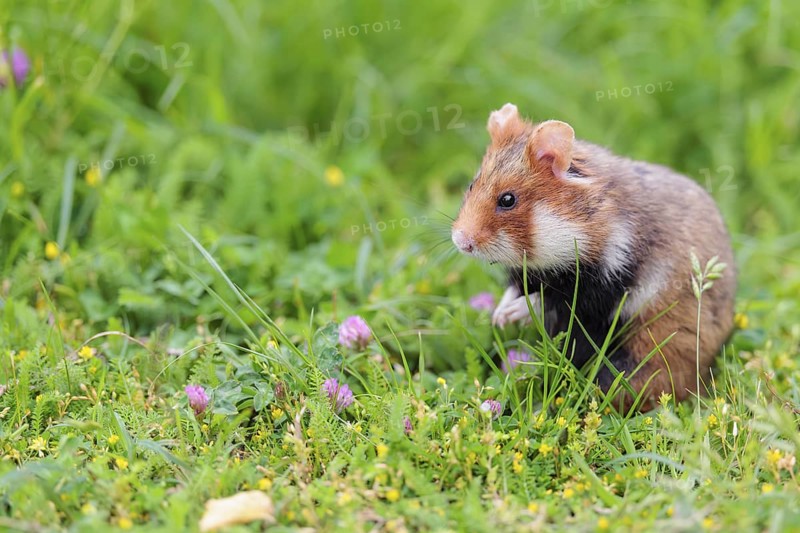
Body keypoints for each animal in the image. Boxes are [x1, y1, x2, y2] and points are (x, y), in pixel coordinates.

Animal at [451, 103, 736, 411]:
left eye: (507, 200)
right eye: (471, 185)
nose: (460, 242)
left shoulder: (606, 283)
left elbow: (552, 302)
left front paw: (512, 314)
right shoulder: (529, 273)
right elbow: (517, 290)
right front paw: (499, 317)